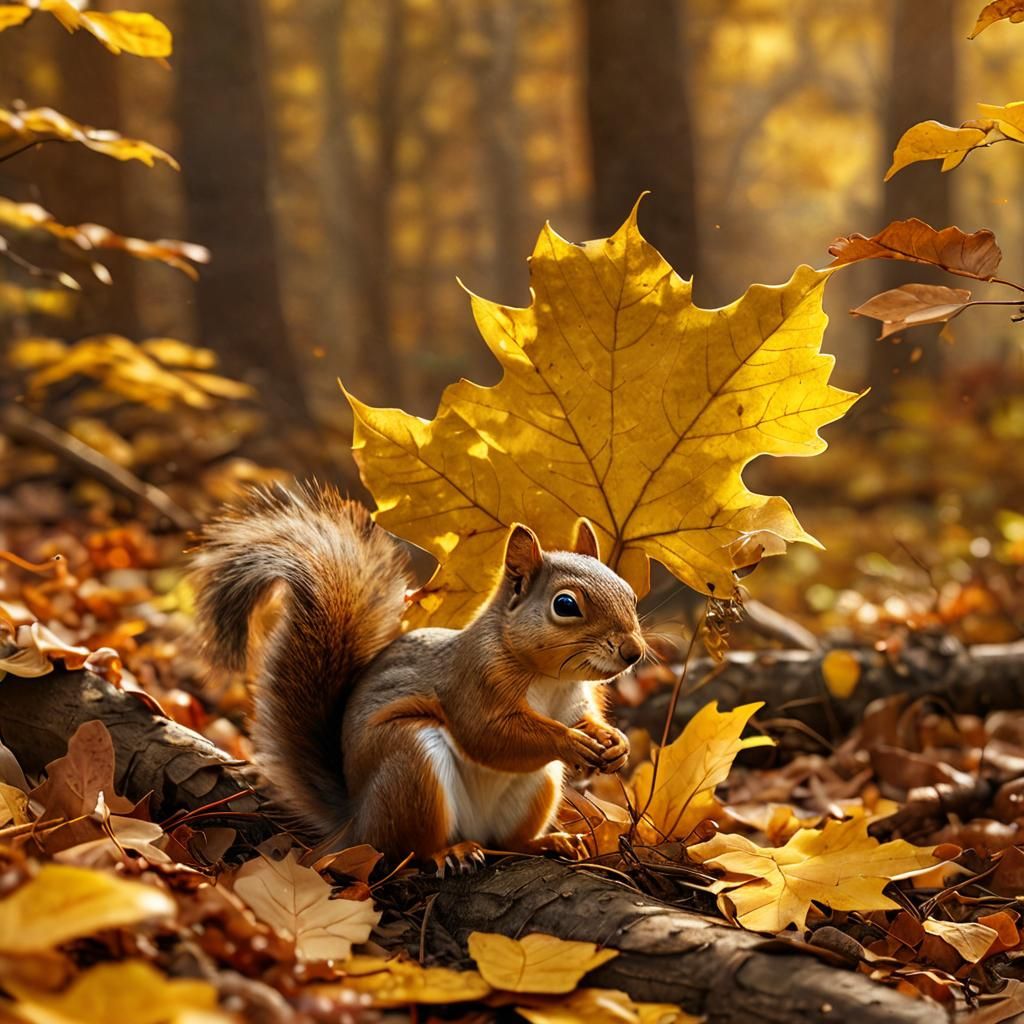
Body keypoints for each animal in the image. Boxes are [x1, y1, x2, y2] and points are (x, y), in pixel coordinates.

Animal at [190, 482, 645, 871]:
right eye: (565, 605)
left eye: (630, 592)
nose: (633, 651)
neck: (549, 679)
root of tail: (356, 818)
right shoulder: (473, 682)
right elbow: (490, 735)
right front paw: (570, 742)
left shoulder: (575, 698)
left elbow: (582, 720)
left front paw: (614, 743)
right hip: (410, 767)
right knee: (405, 848)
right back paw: (449, 853)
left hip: (537, 788)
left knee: (508, 841)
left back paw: (546, 842)